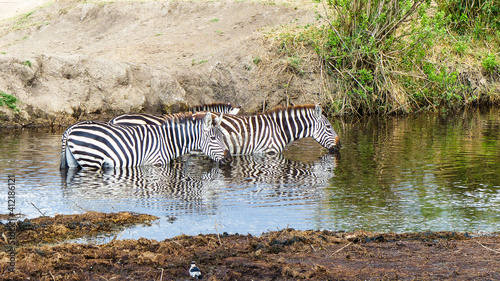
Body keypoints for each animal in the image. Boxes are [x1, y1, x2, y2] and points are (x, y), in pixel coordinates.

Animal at [59, 111, 231, 168]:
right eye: (213, 138)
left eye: (223, 136)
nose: (229, 159)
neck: (168, 140)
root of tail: (70, 129)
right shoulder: (156, 163)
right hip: (91, 160)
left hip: (74, 160)